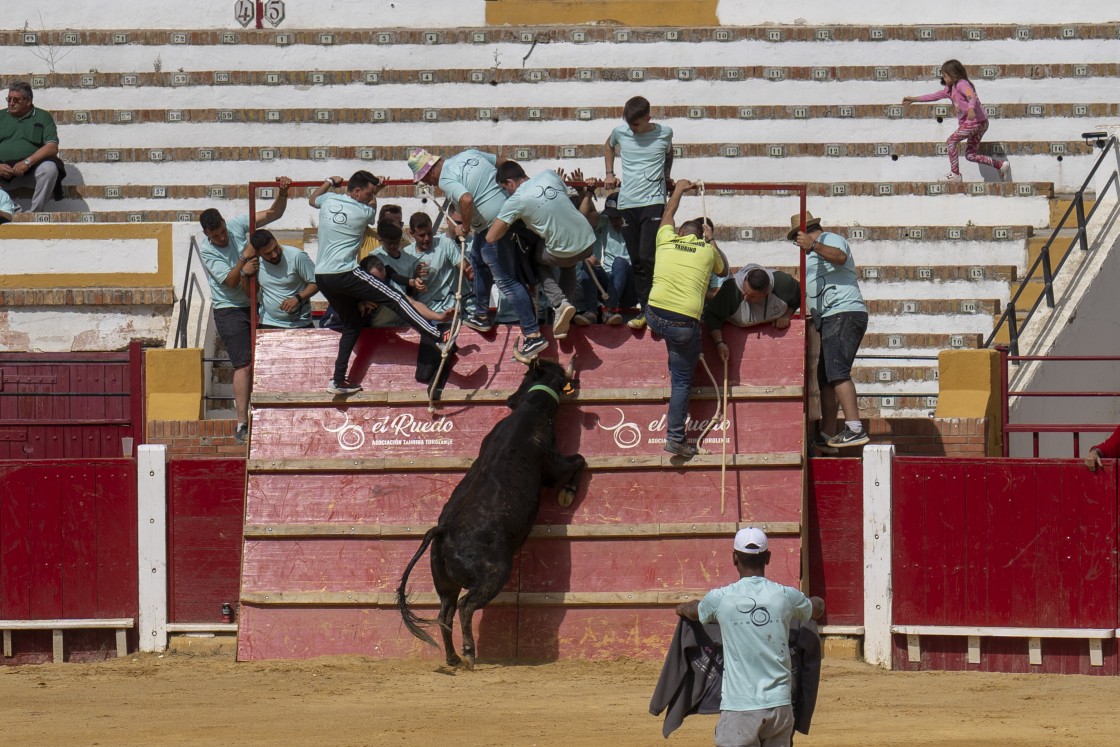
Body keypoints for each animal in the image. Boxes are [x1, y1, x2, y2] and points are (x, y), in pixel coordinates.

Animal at [396, 356, 586, 667]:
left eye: (524, 378)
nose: (510, 400)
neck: (532, 409)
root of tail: (442, 530)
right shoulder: (552, 466)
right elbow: (579, 460)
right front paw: (567, 493)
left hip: (444, 583)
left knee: (445, 612)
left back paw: (453, 658)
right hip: (494, 574)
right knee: (465, 606)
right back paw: (469, 652)